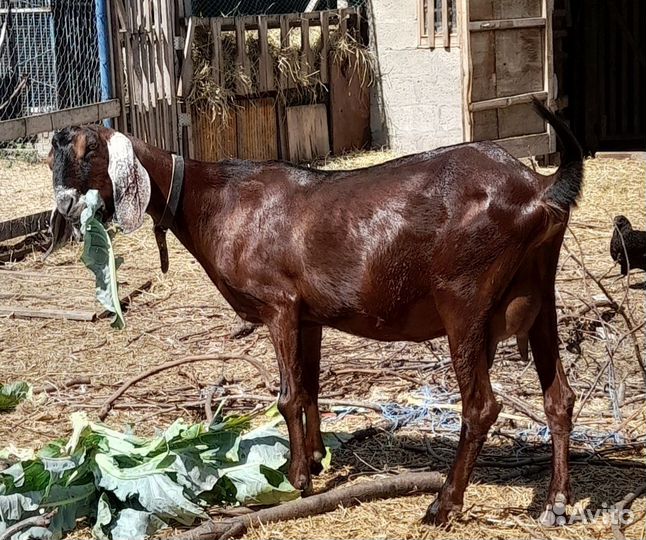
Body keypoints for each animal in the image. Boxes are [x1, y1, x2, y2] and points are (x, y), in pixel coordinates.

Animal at [48, 100, 583, 525]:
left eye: (89, 151)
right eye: (53, 159)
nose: (64, 210)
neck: (216, 199)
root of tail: (538, 189)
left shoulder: (279, 306)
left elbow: (287, 396)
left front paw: (294, 479)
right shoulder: (309, 316)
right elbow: (309, 389)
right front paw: (319, 458)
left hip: (465, 299)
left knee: (480, 405)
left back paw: (443, 504)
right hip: (543, 292)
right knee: (560, 397)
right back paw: (556, 502)